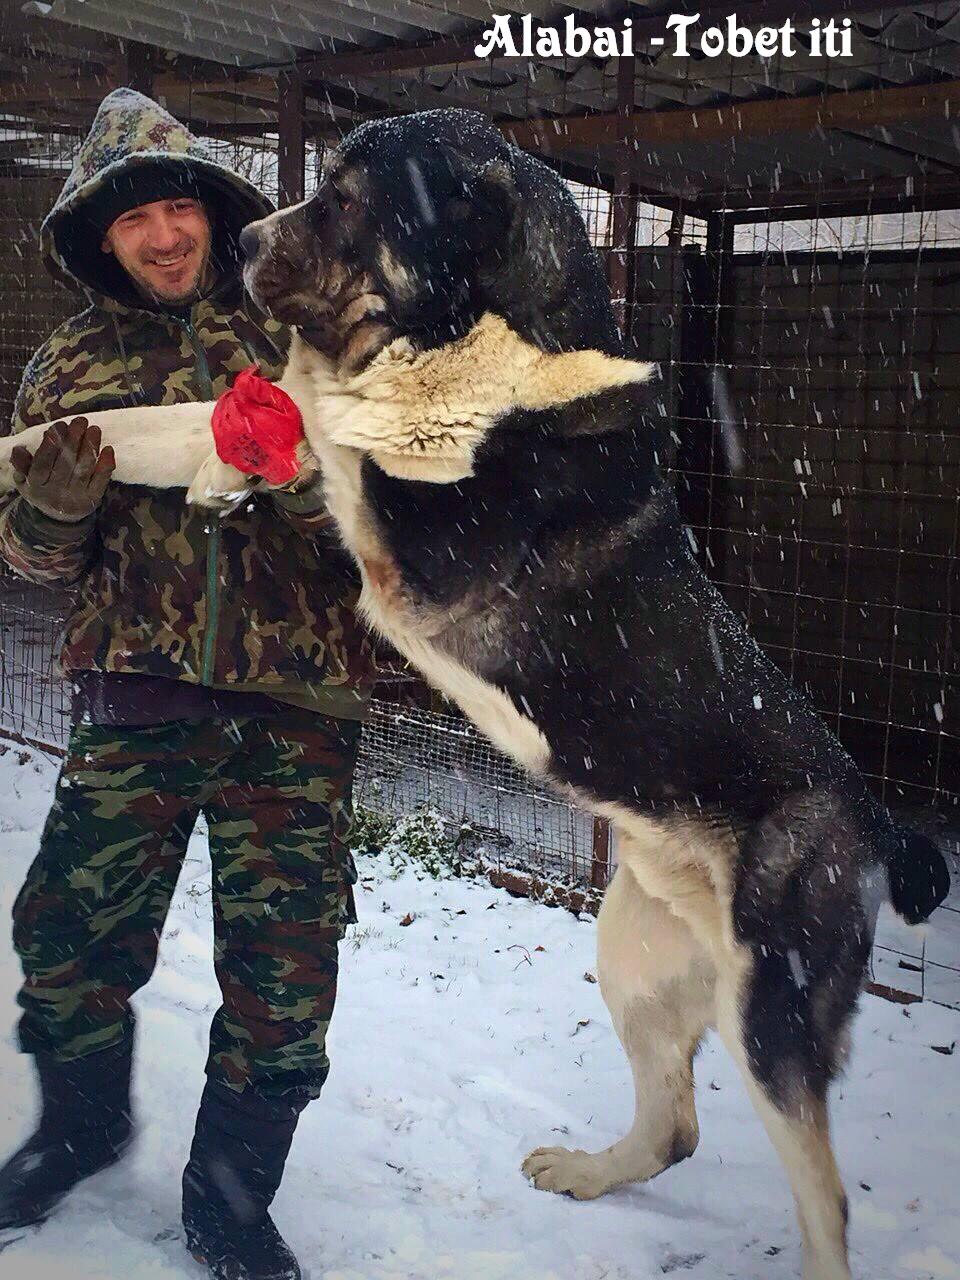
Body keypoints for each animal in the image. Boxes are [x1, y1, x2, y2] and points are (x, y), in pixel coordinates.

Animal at [0, 110, 952, 1280]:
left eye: (349, 200)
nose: (246, 242)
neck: (478, 339)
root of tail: (873, 817)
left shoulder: (419, 547)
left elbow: (328, 427)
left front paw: (254, 448)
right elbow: (187, 417)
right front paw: (59, 453)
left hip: (772, 1007)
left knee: (826, 1200)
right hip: (636, 950)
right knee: (674, 1126)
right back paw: (586, 1171)